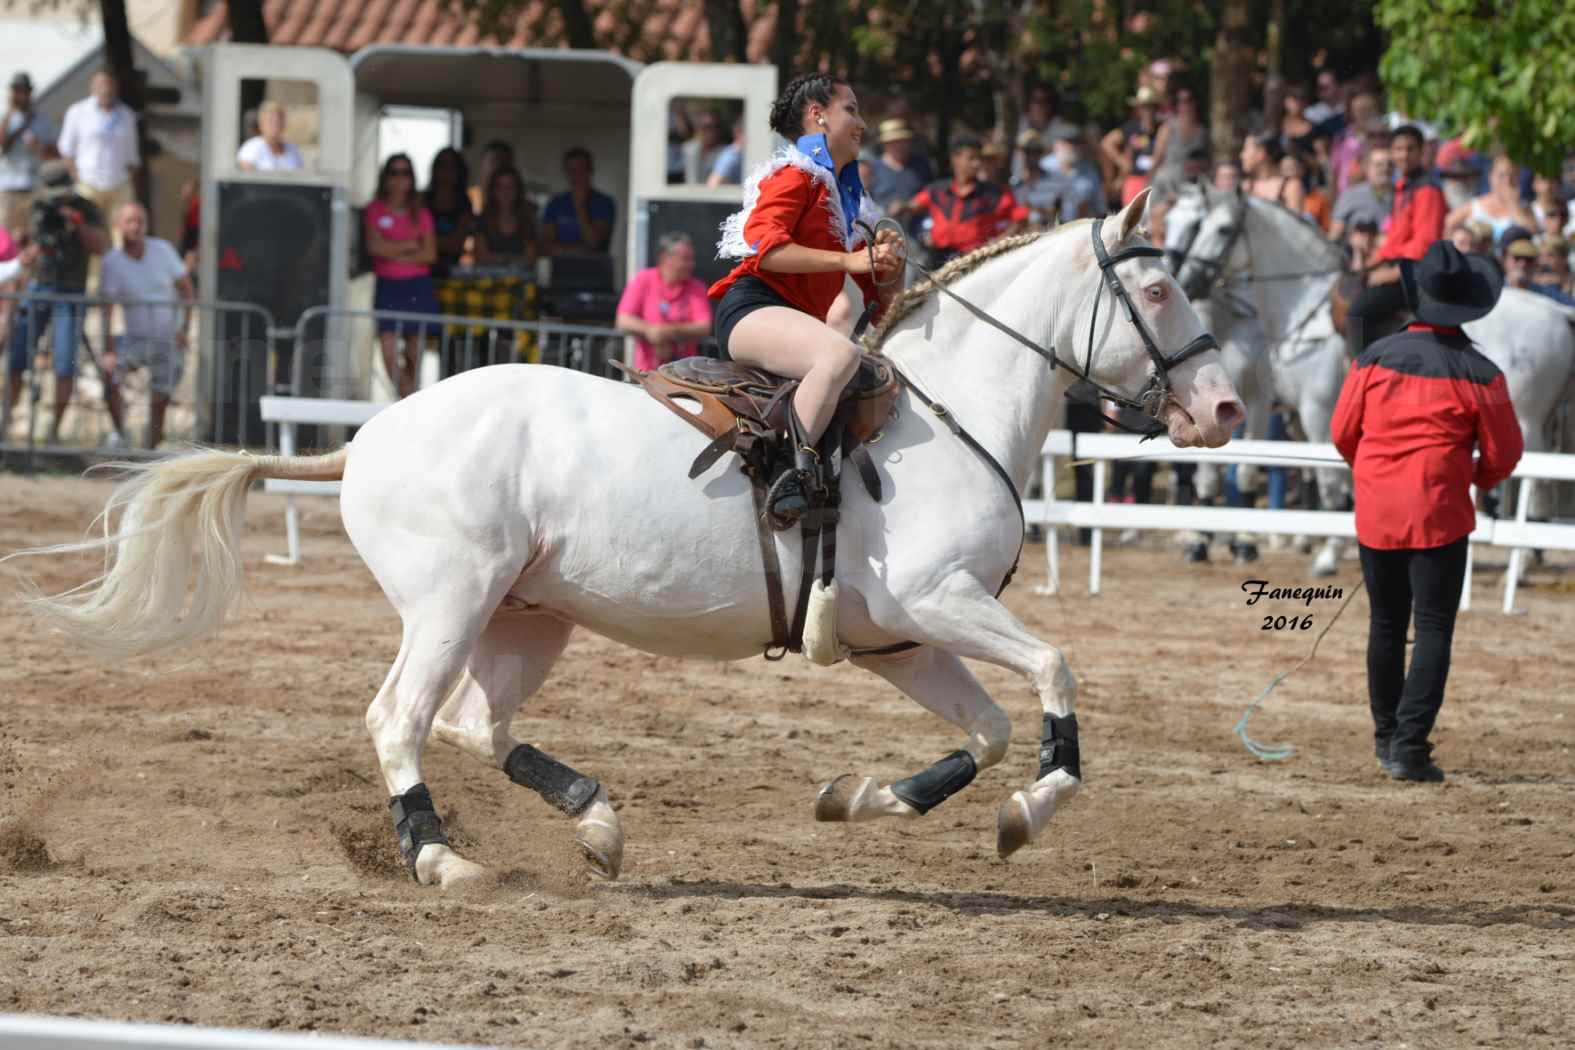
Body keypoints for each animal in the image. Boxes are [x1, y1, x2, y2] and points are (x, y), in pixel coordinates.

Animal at [12, 188, 1241, 887]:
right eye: (1161, 293)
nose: (1226, 408)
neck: (949, 414)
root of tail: (363, 441)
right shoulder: (940, 601)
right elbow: (1056, 672)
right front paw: (1038, 805)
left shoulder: (903, 638)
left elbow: (983, 733)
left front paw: (868, 799)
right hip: (452, 603)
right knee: (402, 719)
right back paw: (441, 858)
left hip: (526, 617)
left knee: (476, 724)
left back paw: (595, 824)